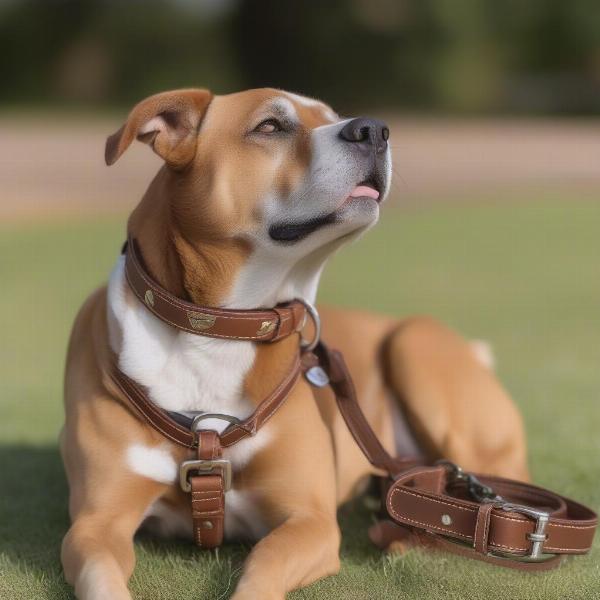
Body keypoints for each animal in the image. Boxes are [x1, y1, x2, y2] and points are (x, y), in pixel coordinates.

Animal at [61, 86, 528, 596]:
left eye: (331, 116)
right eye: (270, 126)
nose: (374, 129)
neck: (220, 330)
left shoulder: (310, 520)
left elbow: (263, 566)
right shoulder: (94, 524)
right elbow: (102, 579)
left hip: (415, 343)